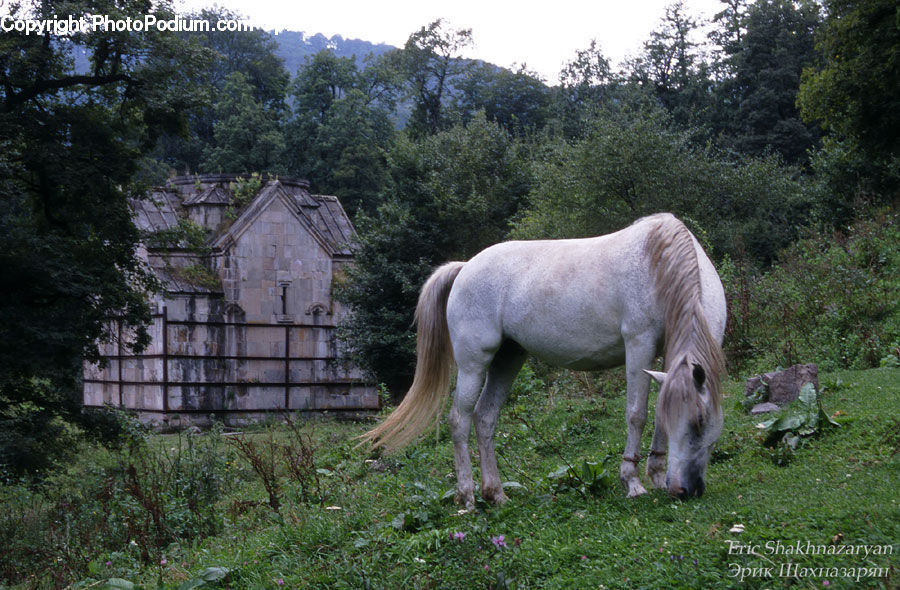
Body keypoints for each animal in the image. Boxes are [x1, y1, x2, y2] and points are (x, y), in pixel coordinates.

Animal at [359, 213, 727, 509]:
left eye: (705, 420)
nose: (685, 490)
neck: (658, 263)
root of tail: (464, 268)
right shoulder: (639, 345)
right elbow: (637, 414)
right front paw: (633, 482)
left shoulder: (664, 359)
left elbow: (658, 415)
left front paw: (657, 476)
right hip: (473, 364)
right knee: (459, 420)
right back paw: (467, 497)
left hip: (508, 360)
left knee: (485, 418)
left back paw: (496, 493)